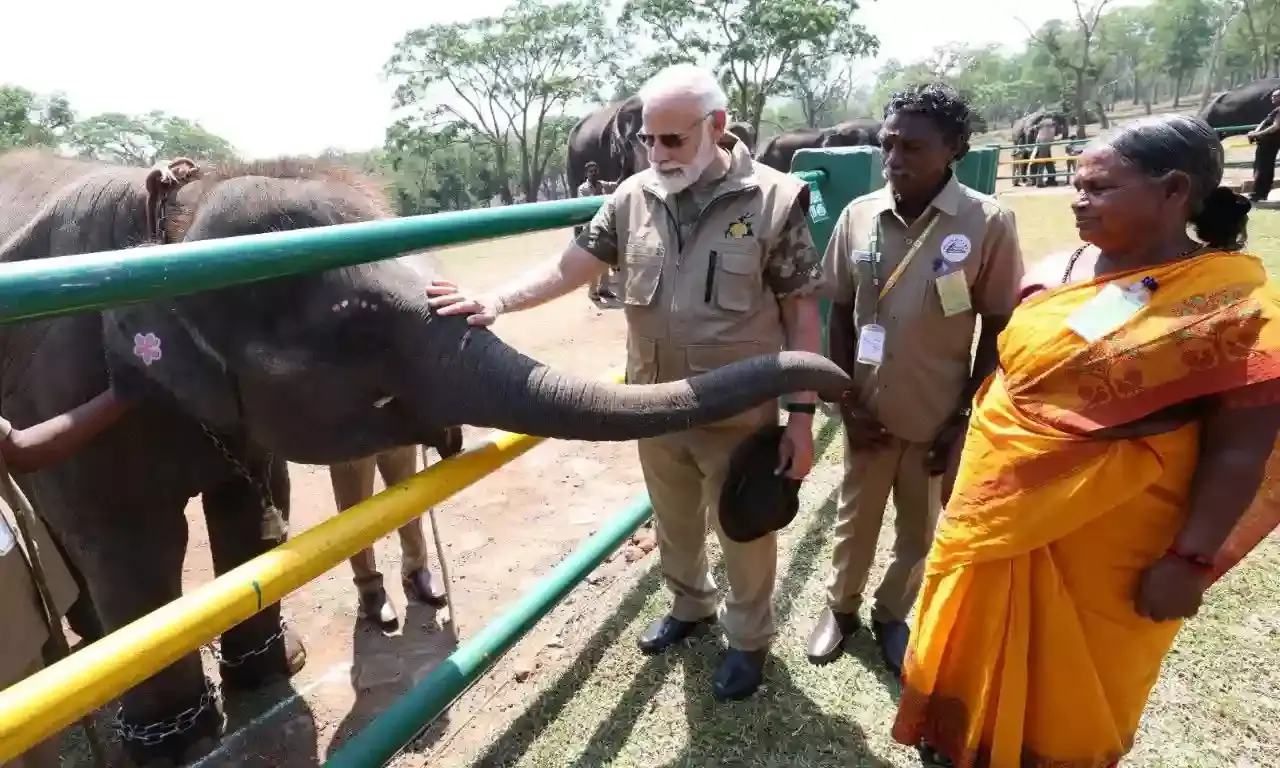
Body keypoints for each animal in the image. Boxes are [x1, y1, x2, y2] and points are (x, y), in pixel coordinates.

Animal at [0, 148, 850, 765]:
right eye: (354, 330)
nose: (835, 382)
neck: (167, 230)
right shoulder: (66, 385)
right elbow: (131, 540)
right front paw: (179, 743)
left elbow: (250, 506)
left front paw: (272, 673)